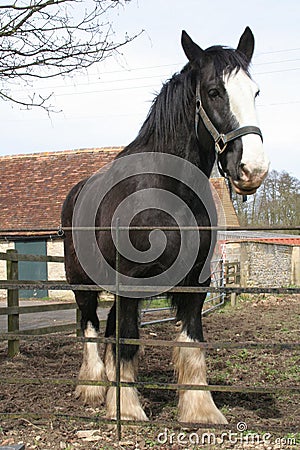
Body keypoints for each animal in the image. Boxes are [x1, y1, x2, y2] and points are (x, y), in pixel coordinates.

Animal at [61, 26, 270, 424]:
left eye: (255, 92)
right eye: (214, 91)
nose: (253, 169)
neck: (167, 192)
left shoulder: (196, 283)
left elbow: (192, 343)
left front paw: (201, 409)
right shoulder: (128, 282)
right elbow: (127, 339)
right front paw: (126, 408)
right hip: (82, 282)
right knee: (91, 326)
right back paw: (93, 387)